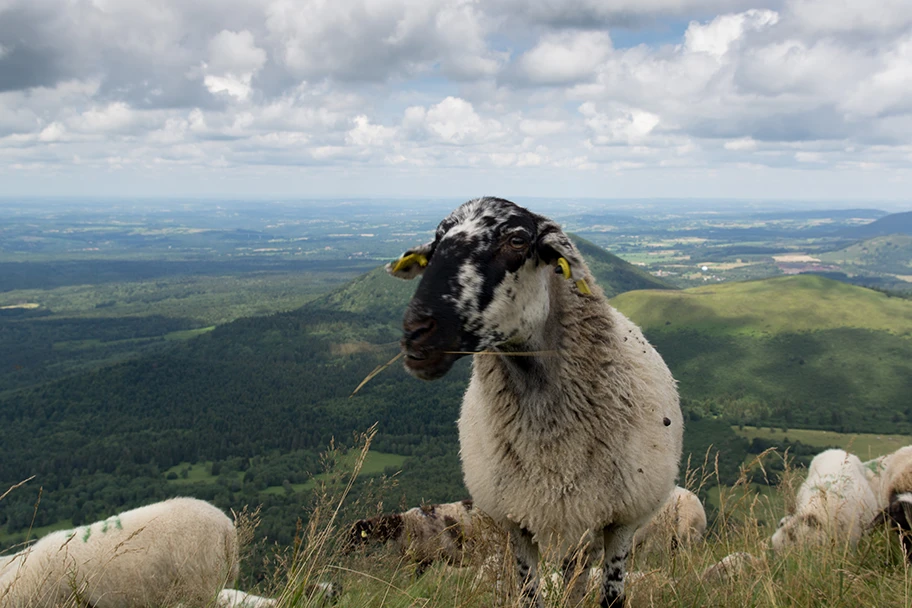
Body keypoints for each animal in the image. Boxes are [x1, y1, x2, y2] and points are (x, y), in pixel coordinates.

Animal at [386, 197, 684, 604]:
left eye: (516, 240)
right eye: (435, 244)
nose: (416, 332)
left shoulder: (622, 523)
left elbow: (612, 596)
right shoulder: (516, 522)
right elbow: (529, 594)